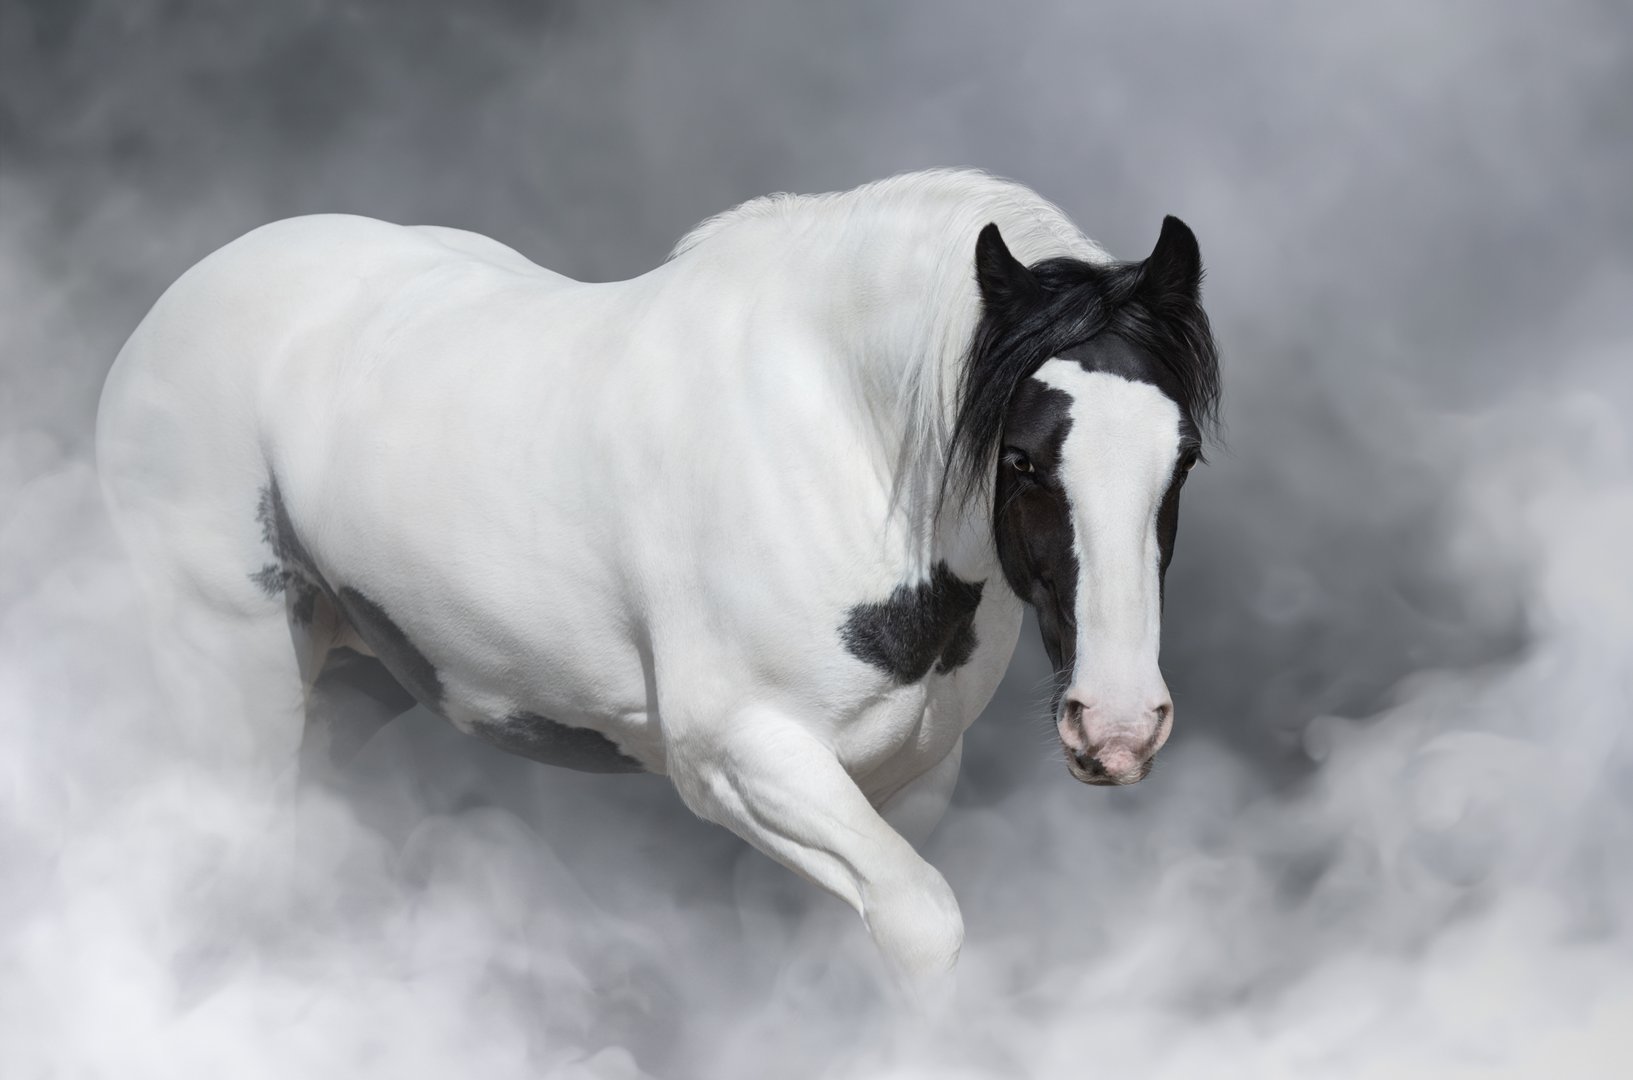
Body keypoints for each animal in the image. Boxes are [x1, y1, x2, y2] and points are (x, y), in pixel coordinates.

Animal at [95, 169, 1220, 983]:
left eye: (1182, 458)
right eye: (1021, 458)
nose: (1118, 728)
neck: (837, 439)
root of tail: (180, 301)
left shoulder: (907, 783)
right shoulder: (741, 758)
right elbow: (921, 923)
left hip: (351, 672)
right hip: (232, 674)